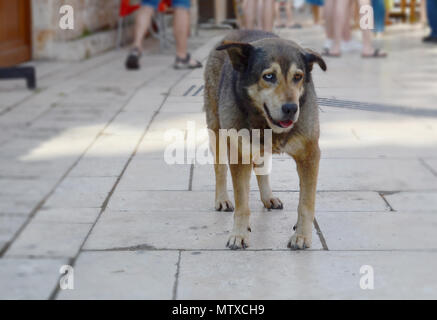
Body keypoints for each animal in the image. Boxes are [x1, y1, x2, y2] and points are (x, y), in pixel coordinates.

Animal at [204, 30, 324, 250]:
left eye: (298, 77)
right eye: (269, 76)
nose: (291, 108)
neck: (266, 124)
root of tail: (233, 32)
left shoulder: (309, 155)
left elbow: (306, 203)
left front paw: (302, 236)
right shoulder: (239, 155)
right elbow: (242, 204)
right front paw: (239, 234)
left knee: (261, 168)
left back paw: (268, 197)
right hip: (217, 131)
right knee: (220, 169)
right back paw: (222, 199)